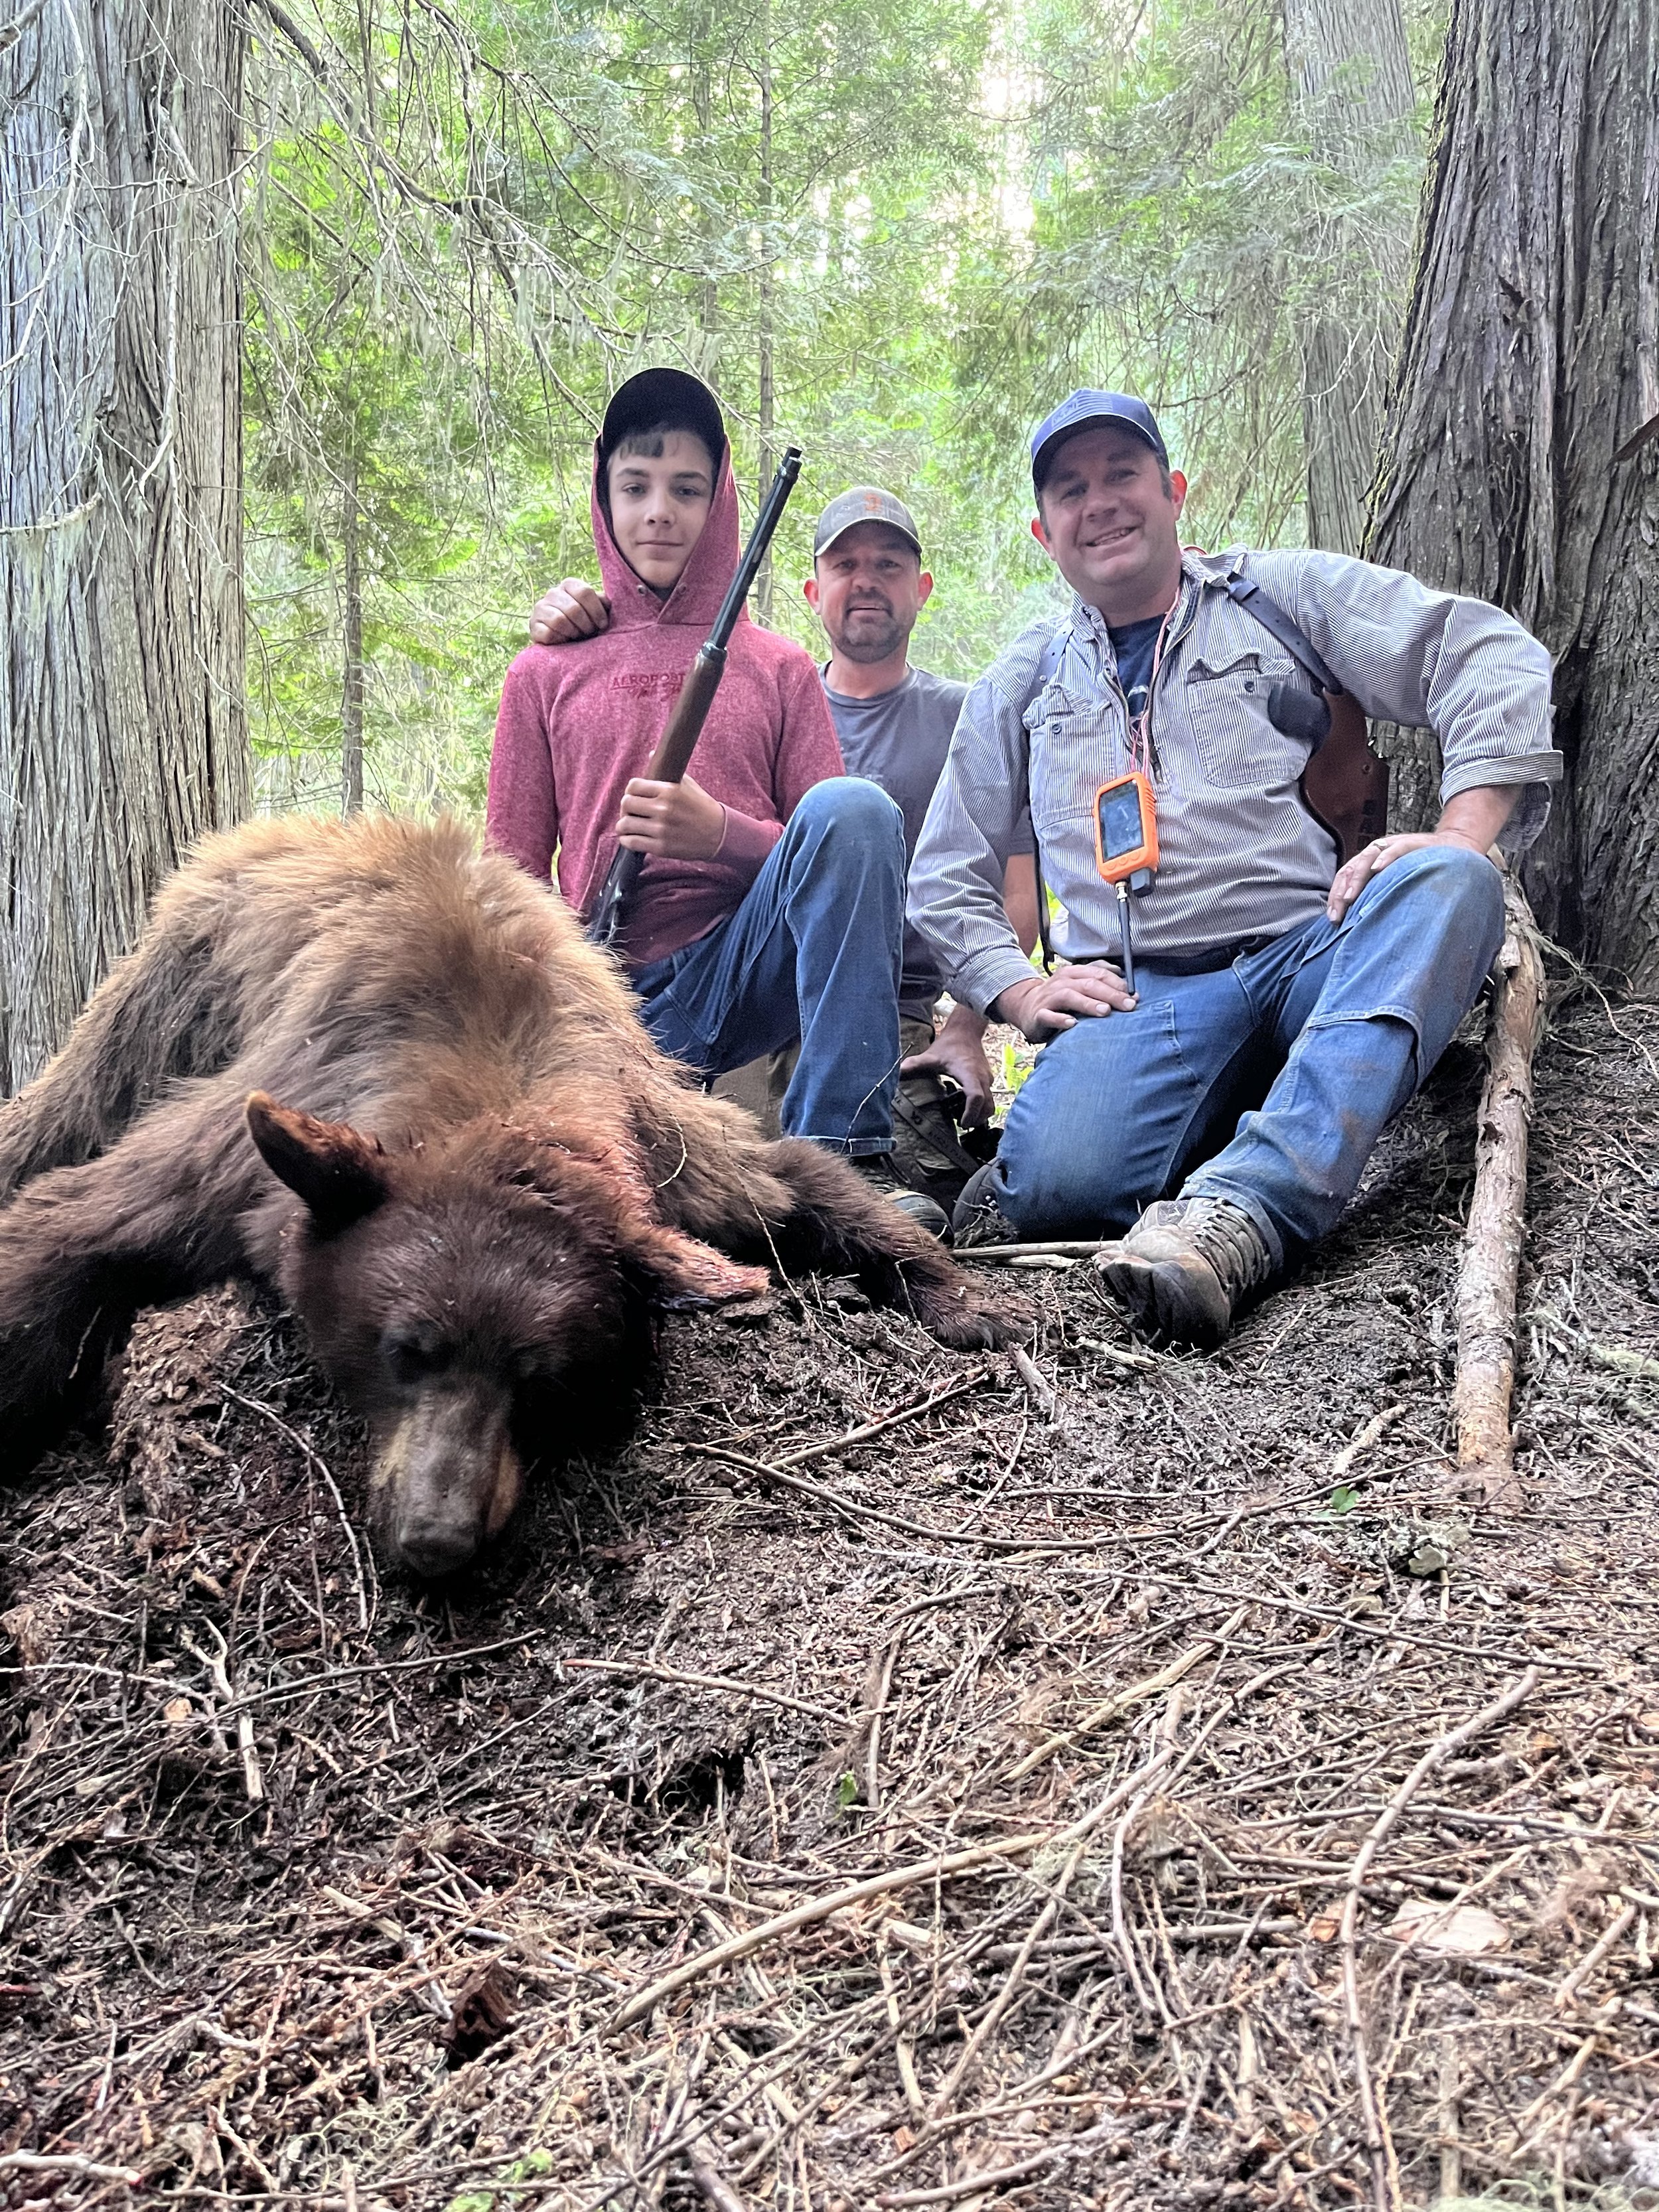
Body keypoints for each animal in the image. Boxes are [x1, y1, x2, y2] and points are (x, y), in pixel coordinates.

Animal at [0, 814, 1006, 1576]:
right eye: (405, 1349)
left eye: (540, 1373)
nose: (434, 1541)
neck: (496, 1091)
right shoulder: (248, 1151)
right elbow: (76, 1221)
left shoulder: (665, 1151)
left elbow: (799, 1180)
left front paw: (967, 1299)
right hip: (164, 998)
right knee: (62, 1108)